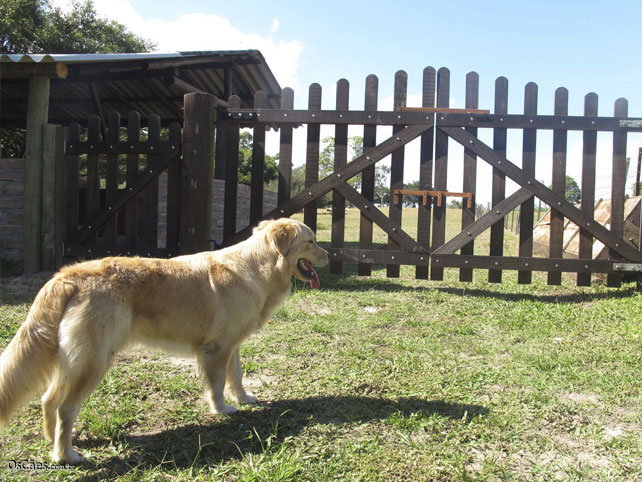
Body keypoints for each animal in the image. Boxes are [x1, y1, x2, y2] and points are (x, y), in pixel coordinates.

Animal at [0, 218, 328, 464]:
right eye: (311, 241)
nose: (330, 256)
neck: (258, 265)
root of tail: (68, 275)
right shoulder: (216, 348)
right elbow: (217, 384)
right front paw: (222, 410)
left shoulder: (232, 344)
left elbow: (236, 375)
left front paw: (244, 398)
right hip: (95, 361)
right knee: (65, 408)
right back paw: (66, 455)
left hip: (74, 362)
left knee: (48, 399)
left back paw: (52, 440)